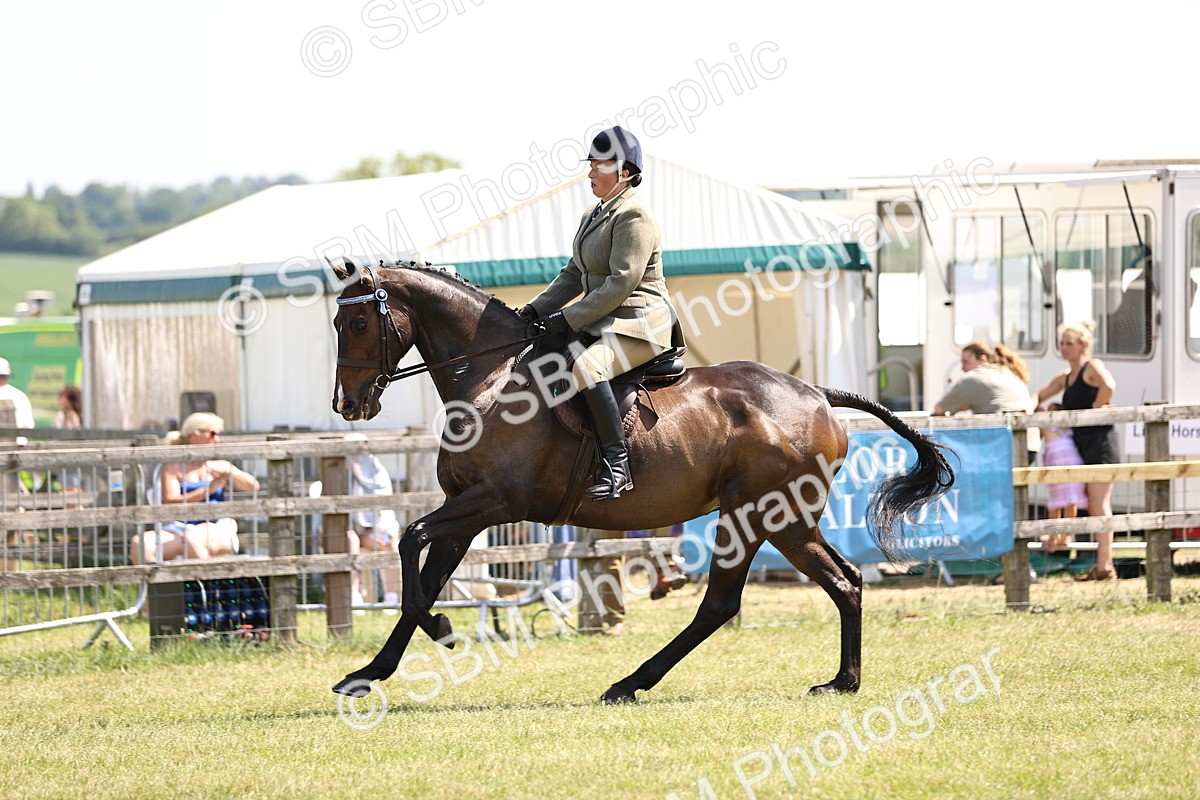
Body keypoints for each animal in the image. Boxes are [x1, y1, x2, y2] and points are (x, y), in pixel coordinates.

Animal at [328, 259, 954, 703]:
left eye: (357, 322)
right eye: (337, 322)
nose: (348, 405)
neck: (493, 374)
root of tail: (819, 395)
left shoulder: (495, 502)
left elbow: (409, 541)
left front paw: (440, 629)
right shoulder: (464, 507)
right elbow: (425, 576)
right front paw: (371, 671)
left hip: (759, 515)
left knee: (725, 603)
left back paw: (629, 684)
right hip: (785, 520)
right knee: (843, 582)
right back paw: (842, 681)